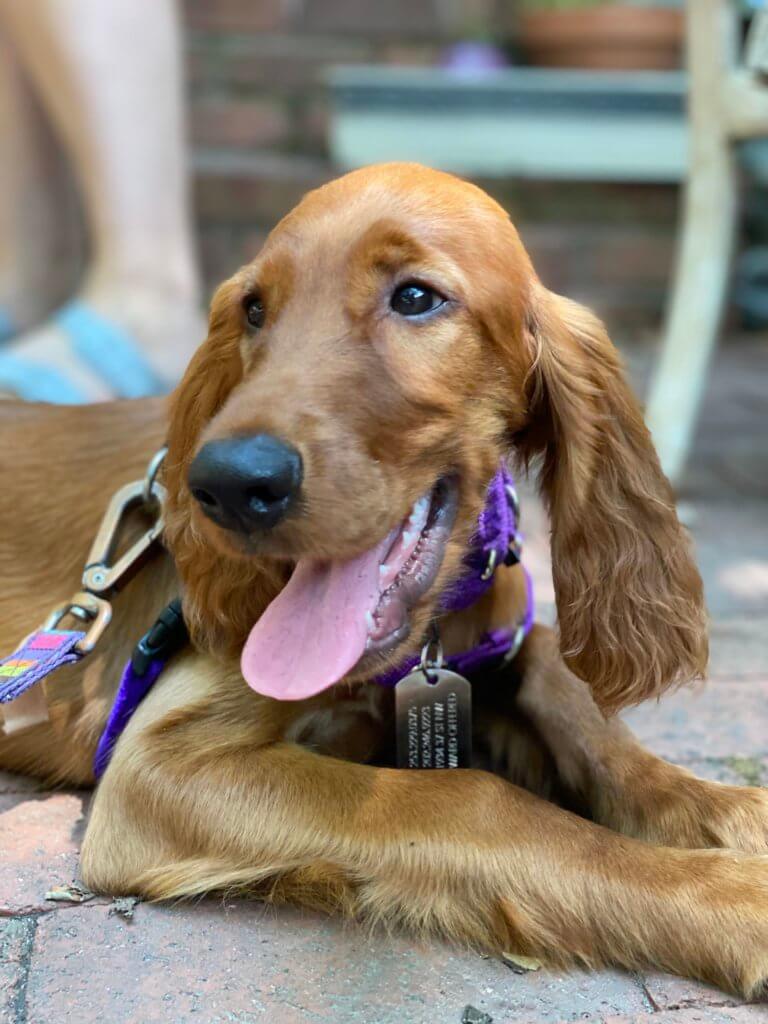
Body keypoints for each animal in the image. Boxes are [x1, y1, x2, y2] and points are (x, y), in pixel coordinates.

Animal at [2, 163, 768, 997]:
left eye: (416, 297)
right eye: (254, 310)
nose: (226, 485)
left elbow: (574, 696)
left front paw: (718, 804)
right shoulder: (157, 766)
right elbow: (472, 799)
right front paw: (730, 896)